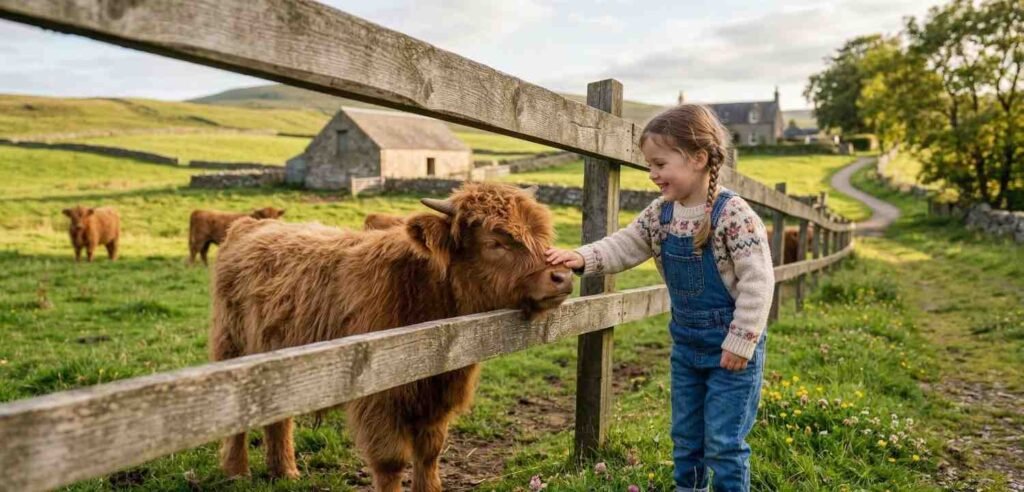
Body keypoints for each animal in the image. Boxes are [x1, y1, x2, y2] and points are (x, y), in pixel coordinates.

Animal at [209, 183, 573, 491]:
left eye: (541, 234)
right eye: (495, 242)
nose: (562, 276)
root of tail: (250, 225)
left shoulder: (438, 395)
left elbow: (430, 452)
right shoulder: (379, 396)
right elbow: (391, 461)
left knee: (277, 419)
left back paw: (284, 471)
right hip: (232, 348)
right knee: (237, 421)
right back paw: (237, 470)